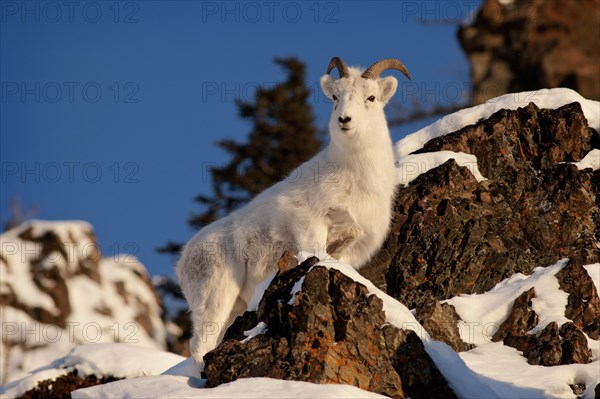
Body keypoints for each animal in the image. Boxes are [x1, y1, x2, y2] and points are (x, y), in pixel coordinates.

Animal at [177, 57, 412, 362]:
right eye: (335, 98)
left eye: (370, 97)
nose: (344, 120)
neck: (354, 176)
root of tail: (183, 262)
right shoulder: (309, 225)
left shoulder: (351, 245)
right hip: (215, 299)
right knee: (200, 346)